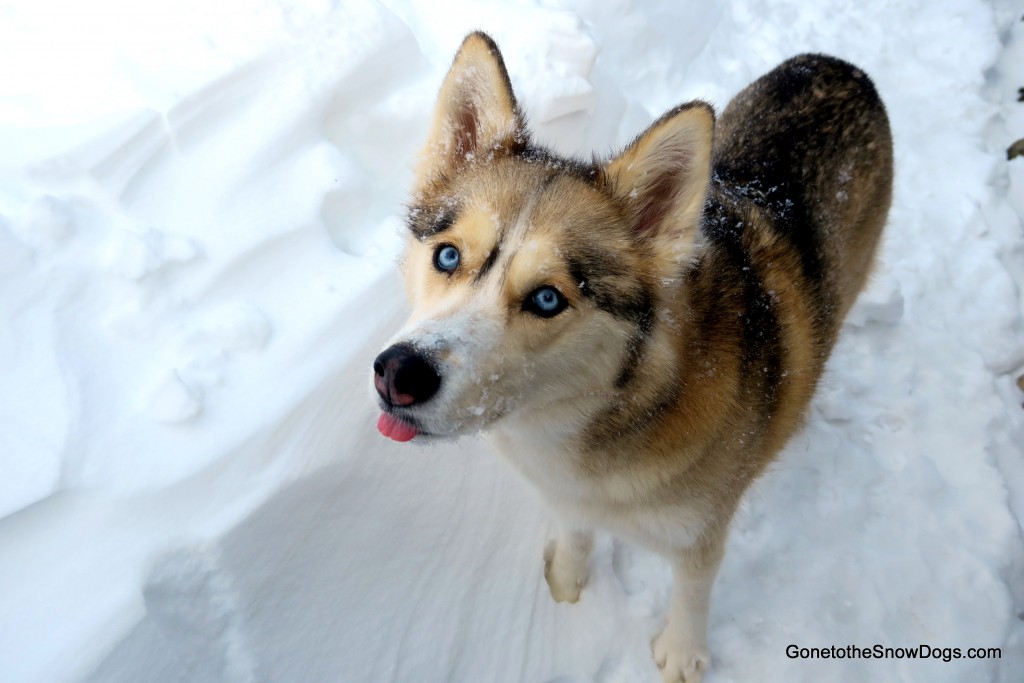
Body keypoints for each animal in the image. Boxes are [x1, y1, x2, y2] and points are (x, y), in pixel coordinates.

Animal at [372, 31, 892, 683]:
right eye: (447, 256)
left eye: (548, 298)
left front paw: (683, 653)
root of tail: (836, 63)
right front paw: (568, 580)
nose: (399, 372)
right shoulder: (566, 497)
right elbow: (574, 533)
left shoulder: (700, 530)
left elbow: (693, 591)